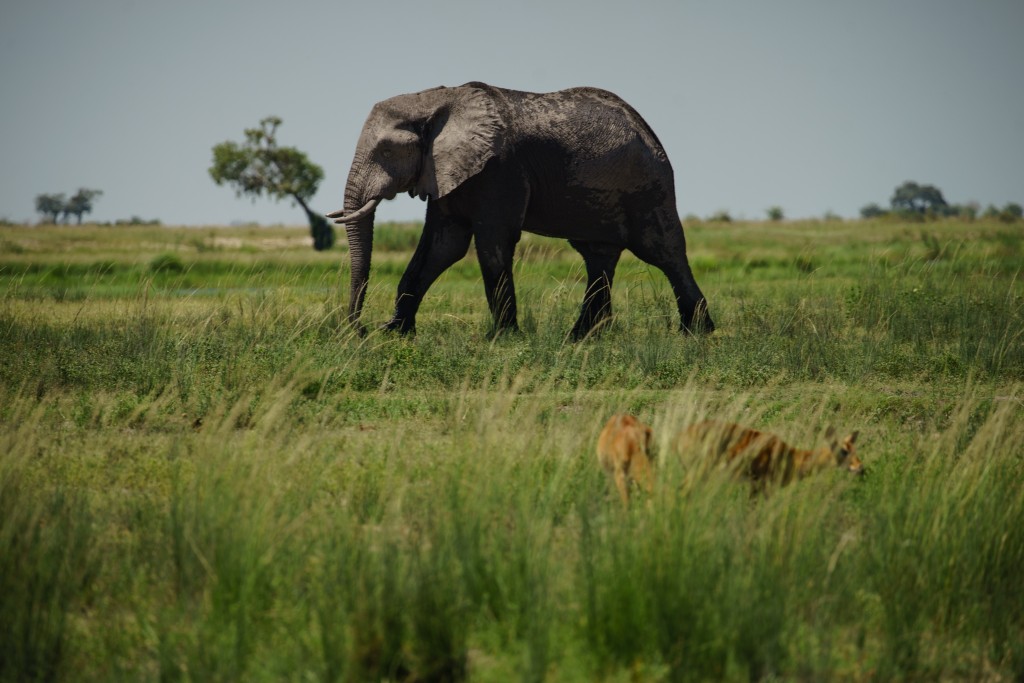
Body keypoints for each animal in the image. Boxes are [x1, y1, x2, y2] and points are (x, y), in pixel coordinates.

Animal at [327, 82, 712, 339]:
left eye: (386, 151)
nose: (359, 329)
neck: (436, 100)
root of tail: (648, 129)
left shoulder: (500, 170)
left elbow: (492, 244)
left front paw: (502, 339)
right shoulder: (444, 170)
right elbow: (443, 247)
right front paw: (393, 332)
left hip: (648, 186)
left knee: (663, 251)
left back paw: (697, 333)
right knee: (598, 257)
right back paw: (582, 338)